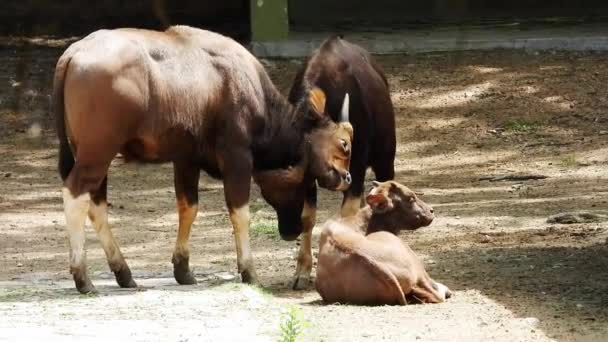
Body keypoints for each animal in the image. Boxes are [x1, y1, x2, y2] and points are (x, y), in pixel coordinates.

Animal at [55, 26, 356, 294]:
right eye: (344, 145)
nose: (347, 177)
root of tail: (74, 52)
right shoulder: (237, 158)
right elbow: (240, 213)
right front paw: (249, 271)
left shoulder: (186, 159)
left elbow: (188, 207)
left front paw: (183, 269)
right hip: (97, 153)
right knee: (75, 195)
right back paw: (83, 278)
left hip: (90, 153)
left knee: (96, 205)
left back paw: (123, 272)